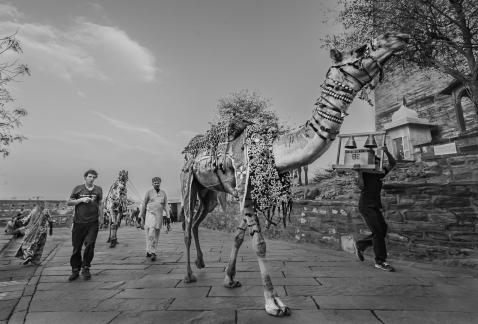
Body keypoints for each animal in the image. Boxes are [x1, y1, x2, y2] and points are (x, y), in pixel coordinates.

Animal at [181, 31, 408, 316]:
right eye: (358, 49)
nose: (398, 37)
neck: (274, 149)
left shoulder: (248, 193)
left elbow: (239, 236)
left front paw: (229, 279)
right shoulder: (245, 188)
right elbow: (259, 244)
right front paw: (274, 303)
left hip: (209, 194)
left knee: (197, 221)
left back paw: (201, 264)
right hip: (188, 182)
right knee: (187, 223)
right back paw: (189, 275)